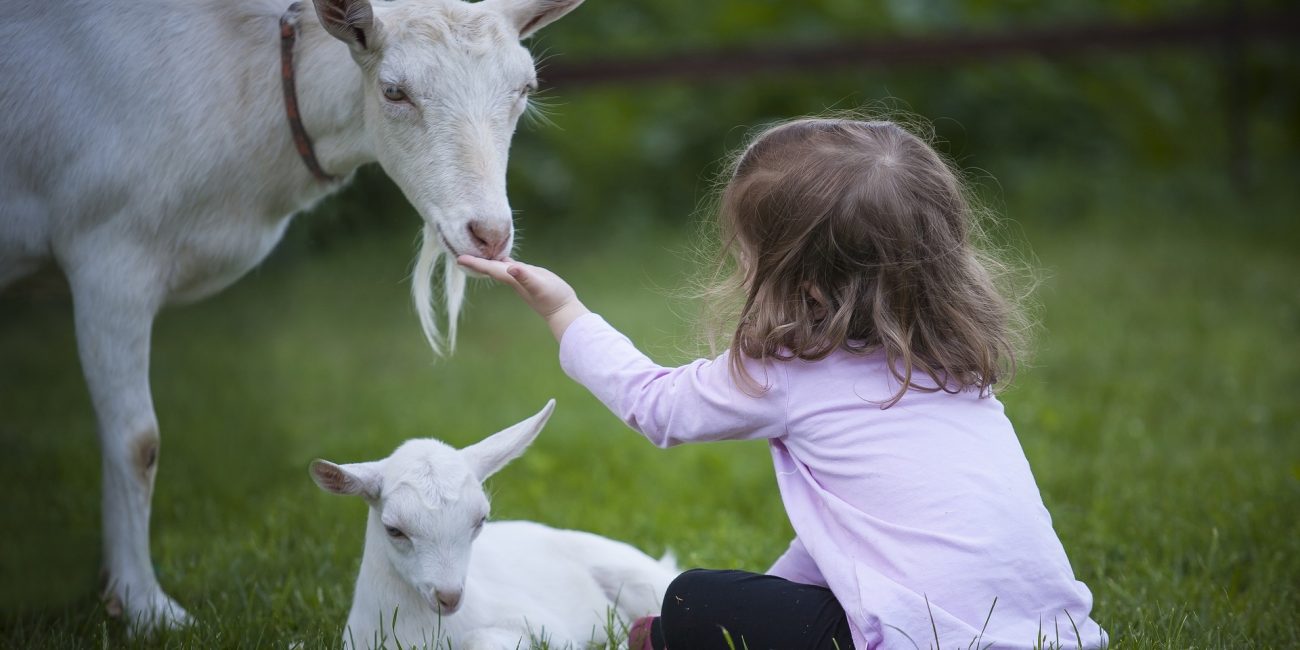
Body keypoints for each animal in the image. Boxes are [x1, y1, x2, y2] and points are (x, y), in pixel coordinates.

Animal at [0, 0, 585, 631]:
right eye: (394, 91)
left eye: (525, 88)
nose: (490, 234)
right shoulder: (108, 249)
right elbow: (137, 441)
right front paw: (146, 606)